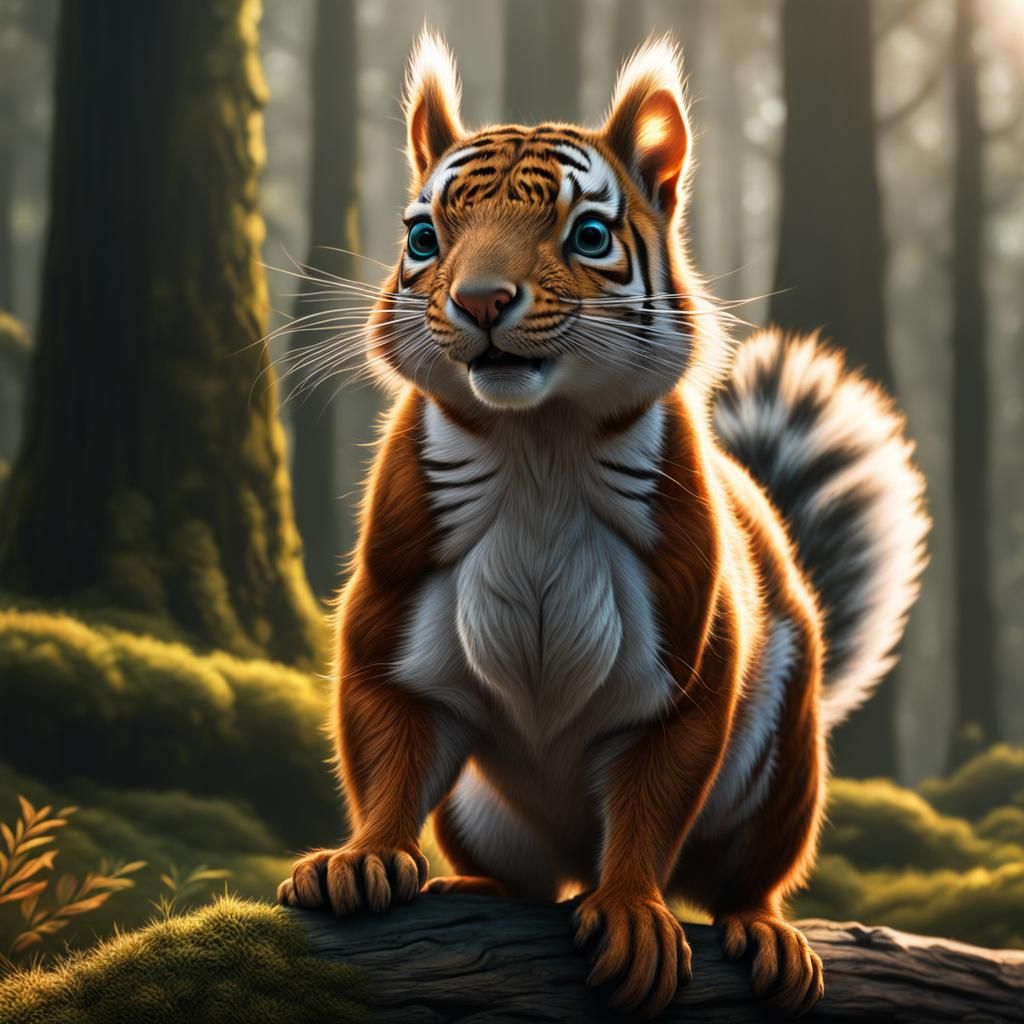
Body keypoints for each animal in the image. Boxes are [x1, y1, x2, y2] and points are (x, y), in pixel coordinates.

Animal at [278, 31, 929, 1019]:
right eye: (424, 239)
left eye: (588, 235)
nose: (480, 300)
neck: (536, 437)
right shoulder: (389, 615)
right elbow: (386, 750)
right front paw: (361, 861)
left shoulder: (687, 661)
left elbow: (652, 802)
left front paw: (630, 912)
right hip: (485, 813)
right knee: (518, 873)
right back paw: (473, 883)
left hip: (785, 768)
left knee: (753, 874)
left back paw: (767, 933)